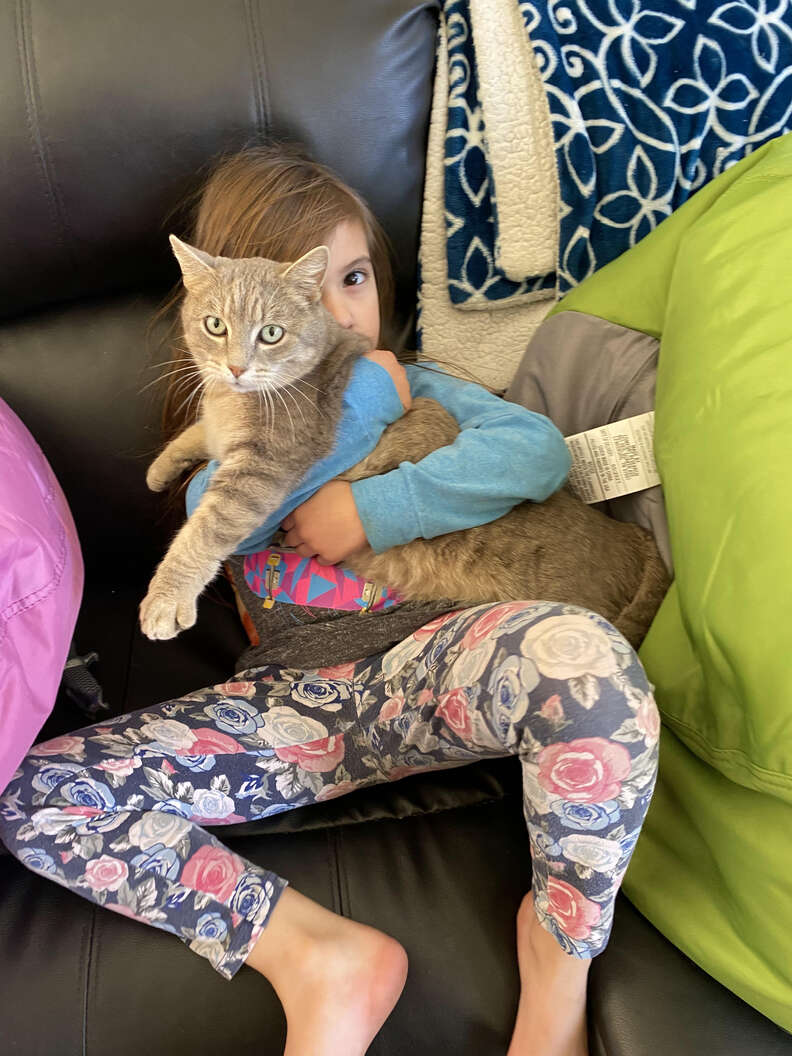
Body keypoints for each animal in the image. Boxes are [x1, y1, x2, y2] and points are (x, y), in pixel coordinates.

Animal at [142, 238, 671, 646]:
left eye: (271, 333)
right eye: (215, 325)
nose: (236, 367)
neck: (233, 402)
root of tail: (635, 539)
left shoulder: (266, 465)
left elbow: (206, 528)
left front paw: (165, 600)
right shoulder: (217, 429)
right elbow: (195, 433)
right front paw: (159, 469)